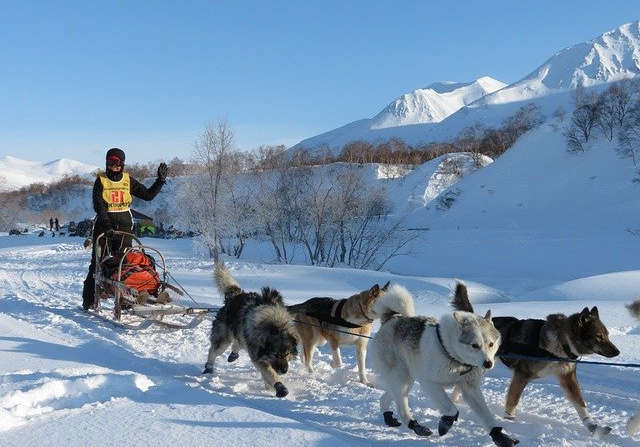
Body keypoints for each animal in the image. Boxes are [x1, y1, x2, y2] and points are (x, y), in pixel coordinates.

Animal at [204, 262, 298, 400]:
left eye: (287, 354)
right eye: (275, 354)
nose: (284, 370)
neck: (274, 324)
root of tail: (234, 296)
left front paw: (270, 386)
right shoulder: (259, 358)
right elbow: (270, 373)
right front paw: (280, 387)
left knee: (238, 341)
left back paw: (233, 354)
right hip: (223, 340)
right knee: (213, 350)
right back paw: (209, 367)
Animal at [370, 284, 520, 447]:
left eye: (491, 344)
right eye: (474, 345)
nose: (488, 363)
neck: (451, 354)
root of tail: (392, 319)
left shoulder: (470, 389)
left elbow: (487, 416)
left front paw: (500, 436)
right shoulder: (429, 383)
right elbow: (451, 409)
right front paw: (446, 423)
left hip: (406, 380)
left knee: (386, 397)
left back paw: (389, 417)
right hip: (402, 378)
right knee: (402, 407)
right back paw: (416, 426)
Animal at [450, 288, 620, 438]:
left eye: (607, 335)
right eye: (599, 336)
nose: (618, 352)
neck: (560, 343)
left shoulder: (568, 378)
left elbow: (581, 405)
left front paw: (593, 427)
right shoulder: (521, 376)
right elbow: (512, 403)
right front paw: (511, 424)